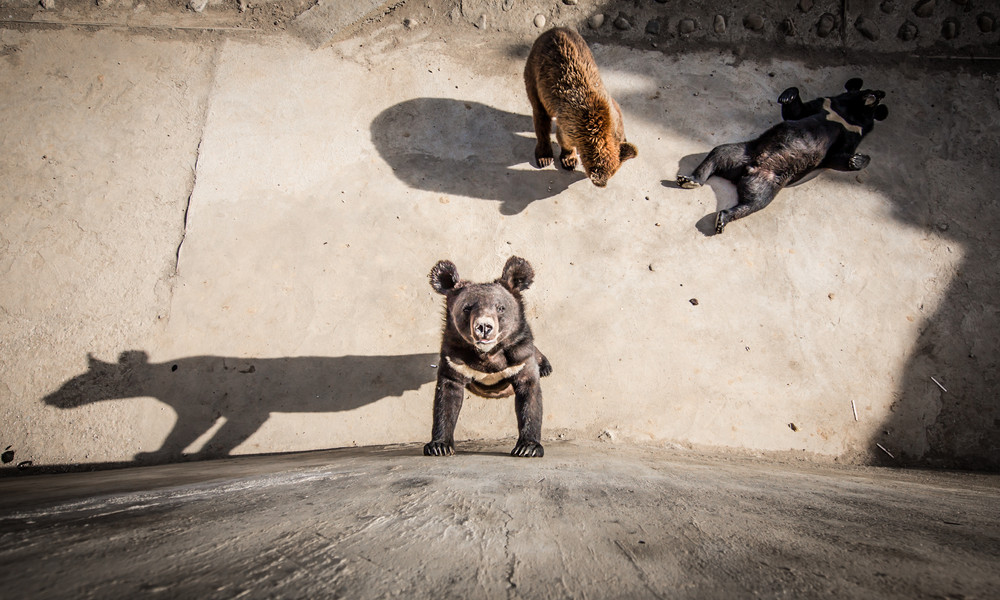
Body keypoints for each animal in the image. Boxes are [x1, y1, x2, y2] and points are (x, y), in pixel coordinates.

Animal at [418, 255, 552, 458]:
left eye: (501, 308)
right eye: (466, 308)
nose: (483, 327)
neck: (488, 354)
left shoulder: (520, 357)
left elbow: (529, 396)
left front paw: (527, 448)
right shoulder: (453, 359)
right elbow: (446, 399)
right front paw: (439, 446)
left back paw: (545, 368)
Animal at [520, 27, 636, 186]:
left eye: (614, 172)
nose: (603, 183)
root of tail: (552, 30)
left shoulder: (613, 111)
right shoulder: (571, 124)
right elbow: (564, 139)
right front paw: (569, 159)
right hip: (535, 73)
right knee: (540, 113)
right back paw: (544, 156)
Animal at [676, 75, 888, 234]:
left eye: (878, 98)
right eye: (869, 91)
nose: (880, 93)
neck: (848, 114)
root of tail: (749, 169)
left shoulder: (852, 133)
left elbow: (838, 155)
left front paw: (857, 159)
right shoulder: (825, 105)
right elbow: (796, 111)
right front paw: (788, 95)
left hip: (769, 181)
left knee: (756, 202)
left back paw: (722, 218)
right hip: (740, 154)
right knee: (718, 153)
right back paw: (690, 180)